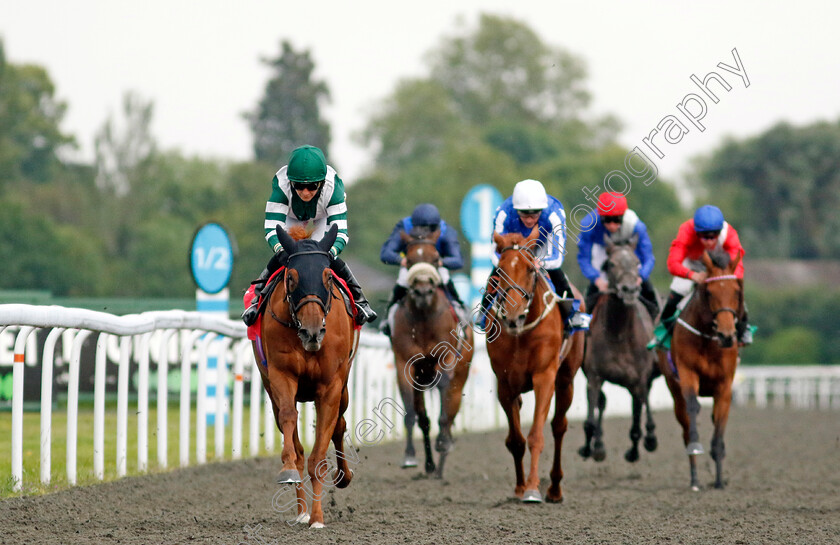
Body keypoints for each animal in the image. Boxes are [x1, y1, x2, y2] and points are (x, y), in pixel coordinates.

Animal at [256, 223, 360, 524]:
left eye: (328, 276)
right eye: (291, 278)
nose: (312, 331)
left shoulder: (331, 386)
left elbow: (320, 456)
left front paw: (317, 519)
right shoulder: (281, 376)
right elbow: (291, 421)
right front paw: (289, 471)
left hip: (344, 390)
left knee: (340, 425)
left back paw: (343, 477)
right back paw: (301, 510)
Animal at [388, 230, 470, 476]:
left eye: (435, 258)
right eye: (409, 260)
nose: (423, 291)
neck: (424, 317)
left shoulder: (447, 357)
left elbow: (445, 401)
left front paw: (443, 441)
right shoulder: (405, 363)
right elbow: (412, 414)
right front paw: (409, 456)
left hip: (460, 377)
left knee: (451, 411)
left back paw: (443, 455)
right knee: (424, 418)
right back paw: (431, 465)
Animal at [486, 228, 584, 502]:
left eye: (531, 269)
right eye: (500, 269)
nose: (513, 316)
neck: (521, 333)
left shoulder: (544, 377)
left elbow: (536, 436)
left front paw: (532, 488)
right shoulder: (505, 384)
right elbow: (516, 440)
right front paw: (520, 487)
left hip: (566, 380)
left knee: (559, 427)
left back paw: (554, 488)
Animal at [580, 236, 660, 462]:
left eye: (637, 262)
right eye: (611, 264)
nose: (629, 290)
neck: (619, 333)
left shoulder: (638, 380)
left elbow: (636, 424)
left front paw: (636, 450)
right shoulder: (594, 377)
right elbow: (590, 420)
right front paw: (590, 448)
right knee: (602, 404)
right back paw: (598, 445)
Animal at [656, 246, 740, 488]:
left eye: (736, 292)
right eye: (709, 292)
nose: (726, 335)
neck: (708, 339)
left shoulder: (724, 384)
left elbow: (719, 422)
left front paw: (720, 478)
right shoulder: (687, 373)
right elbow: (693, 408)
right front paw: (696, 446)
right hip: (674, 389)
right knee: (684, 421)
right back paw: (694, 478)